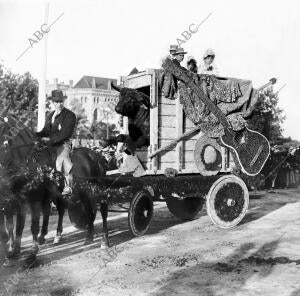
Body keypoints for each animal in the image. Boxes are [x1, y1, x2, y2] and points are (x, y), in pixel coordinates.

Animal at [0, 111, 109, 264]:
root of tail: (95, 155)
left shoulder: (34, 199)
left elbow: (33, 226)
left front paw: (31, 255)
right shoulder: (19, 200)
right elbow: (18, 227)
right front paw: (14, 251)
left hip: (97, 188)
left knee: (103, 210)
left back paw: (104, 240)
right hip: (81, 192)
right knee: (86, 210)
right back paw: (88, 237)